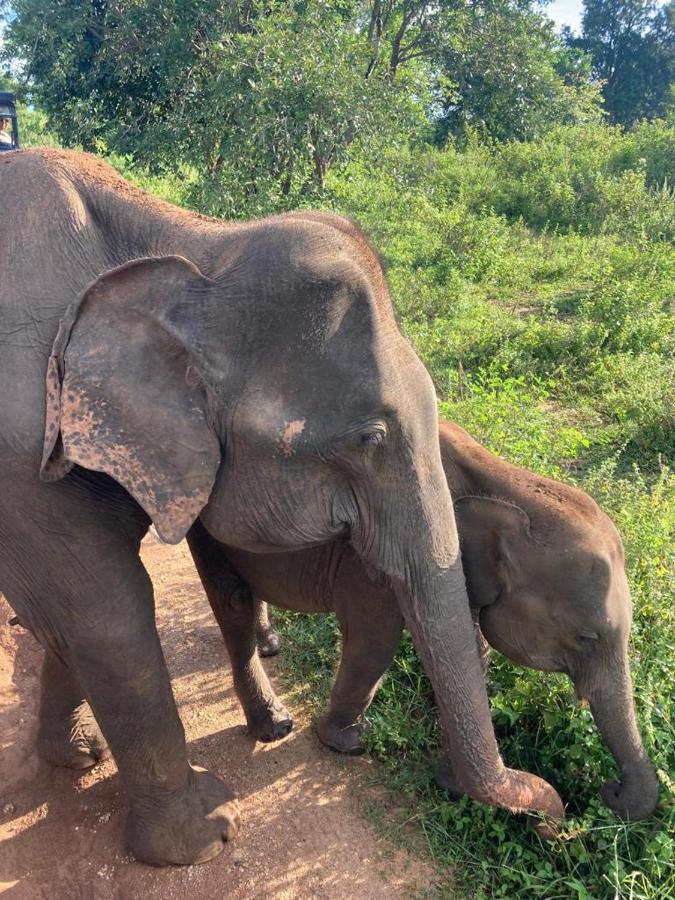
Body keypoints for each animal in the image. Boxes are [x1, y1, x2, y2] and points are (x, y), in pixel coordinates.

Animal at [0, 149, 564, 864]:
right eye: (369, 438)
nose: (556, 821)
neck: (192, 243)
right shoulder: (21, 456)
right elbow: (105, 611)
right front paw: (208, 832)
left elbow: (63, 619)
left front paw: (74, 758)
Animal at [195, 422, 660, 824]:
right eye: (586, 636)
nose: (609, 790)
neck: (508, 482)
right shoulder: (377, 558)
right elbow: (375, 638)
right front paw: (348, 742)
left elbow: (472, 651)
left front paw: (450, 778)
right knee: (231, 599)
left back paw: (271, 645)